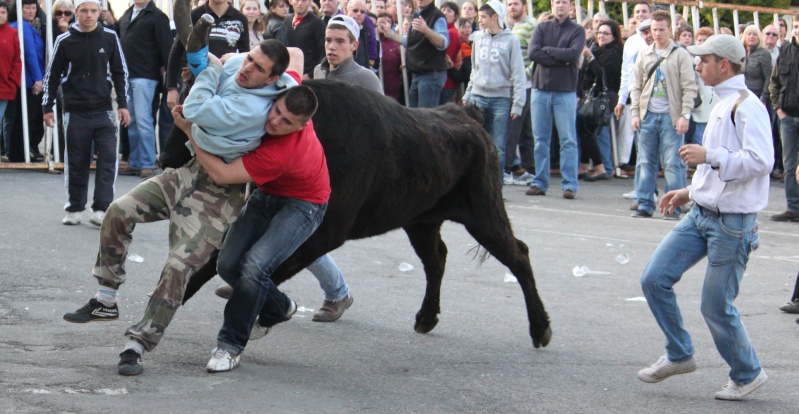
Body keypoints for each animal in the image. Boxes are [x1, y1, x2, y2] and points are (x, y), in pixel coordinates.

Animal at [166, 79, 552, 348]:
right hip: (422, 221)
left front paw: (261, 316)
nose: (171, 153)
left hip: (484, 213)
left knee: (518, 254)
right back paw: (426, 318)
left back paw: (541, 329)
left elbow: (262, 271)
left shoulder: (325, 233)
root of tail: (465, 116)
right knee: (437, 258)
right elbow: (212, 265)